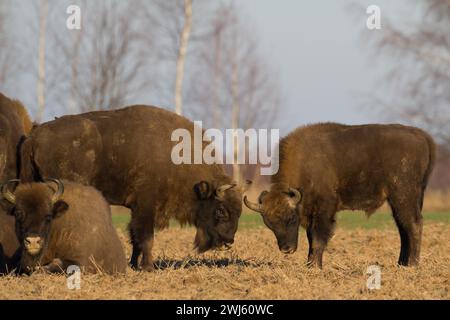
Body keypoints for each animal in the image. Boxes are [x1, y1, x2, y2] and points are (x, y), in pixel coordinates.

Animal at [19, 106, 248, 272]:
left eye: (239, 211)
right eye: (221, 210)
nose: (229, 240)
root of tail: (34, 136)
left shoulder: (136, 209)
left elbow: (135, 239)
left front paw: (134, 264)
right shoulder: (146, 207)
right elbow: (146, 237)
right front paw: (148, 267)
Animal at [244, 124, 438, 268]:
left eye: (291, 219)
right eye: (269, 224)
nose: (286, 249)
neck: (306, 164)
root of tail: (422, 136)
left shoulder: (324, 210)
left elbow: (318, 238)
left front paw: (314, 266)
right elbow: (311, 238)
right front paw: (311, 264)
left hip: (404, 196)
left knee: (413, 225)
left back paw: (412, 265)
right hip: (400, 200)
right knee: (403, 228)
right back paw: (401, 264)